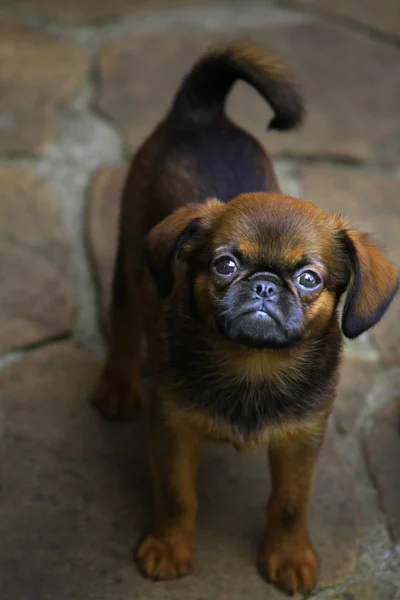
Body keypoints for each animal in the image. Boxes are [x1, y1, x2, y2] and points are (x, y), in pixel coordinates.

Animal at [92, 41, 398, 596]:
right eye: (225, 265)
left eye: (309, 279)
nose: (263, 284)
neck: (254, 364)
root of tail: (201, 113)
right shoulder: (172, 429)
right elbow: (177, 493)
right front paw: (170, 547)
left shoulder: (301, 441)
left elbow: (290, 503)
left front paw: (289, 556)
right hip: (132, 256)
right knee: (124, 321)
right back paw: (119, 387)